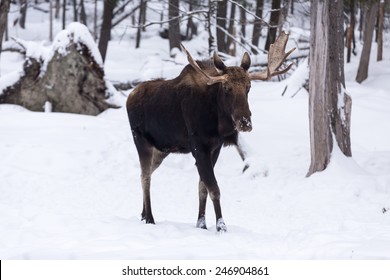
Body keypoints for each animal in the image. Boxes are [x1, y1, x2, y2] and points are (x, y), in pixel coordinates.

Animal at [126, 31, 294, 232]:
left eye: (249, 87)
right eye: (227, 88)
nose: (245, 122)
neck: (217, 121)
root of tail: (129, 96)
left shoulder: (216, 147)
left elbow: (202, 186)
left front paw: (202, 224)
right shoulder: (198, 146)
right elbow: (214, 188)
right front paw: (221, 226)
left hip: (161, 150)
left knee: (148, 173)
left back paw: (143, 214)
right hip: (141, 140)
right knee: (145, 177)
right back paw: (150, 217)